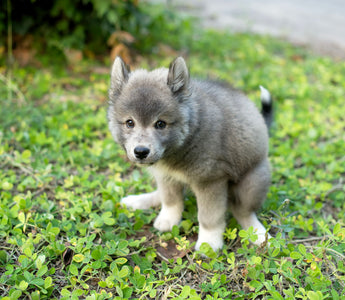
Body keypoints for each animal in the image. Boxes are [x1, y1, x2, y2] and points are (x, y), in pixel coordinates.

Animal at [107, 56, 272, 251]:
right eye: (130, 123)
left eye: (161, 124)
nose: (141, 152)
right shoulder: (166, 175)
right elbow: (171, 200)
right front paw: (168, 219)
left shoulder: (211, 181)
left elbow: (209, 217)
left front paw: (209, 243)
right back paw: (139, 200)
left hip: (251, 182)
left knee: (243, 211)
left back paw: (258, 233)